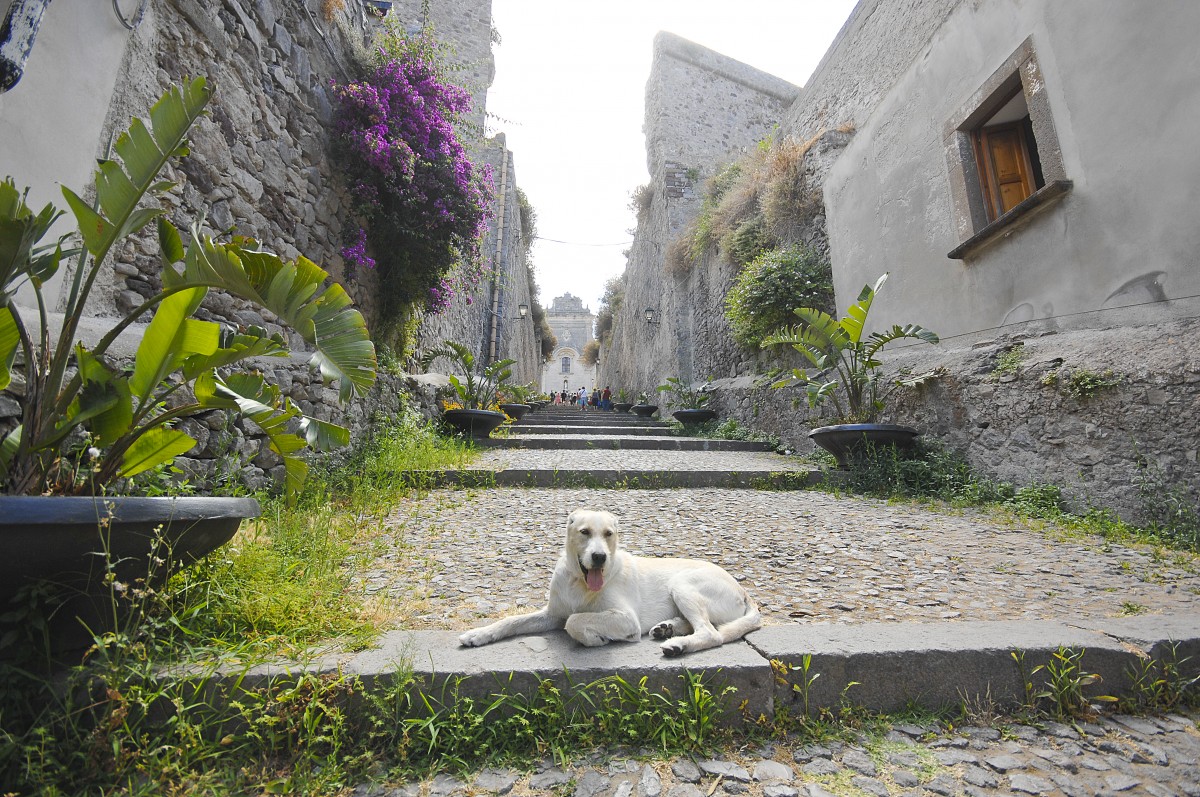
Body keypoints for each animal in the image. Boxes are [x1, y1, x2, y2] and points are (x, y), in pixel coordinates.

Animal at [458, 506, 758, 657]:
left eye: (609, 534)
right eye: (584, 532)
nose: (600, 557)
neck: (579, 583)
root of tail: (743, 592)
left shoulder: (626, 619)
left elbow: (574, 620)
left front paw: (594, 639)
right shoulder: (551, 614)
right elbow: (511, 621)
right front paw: (478, 634)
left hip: (682, 584)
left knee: (711, 633)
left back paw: (677, 645)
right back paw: (668, 629)